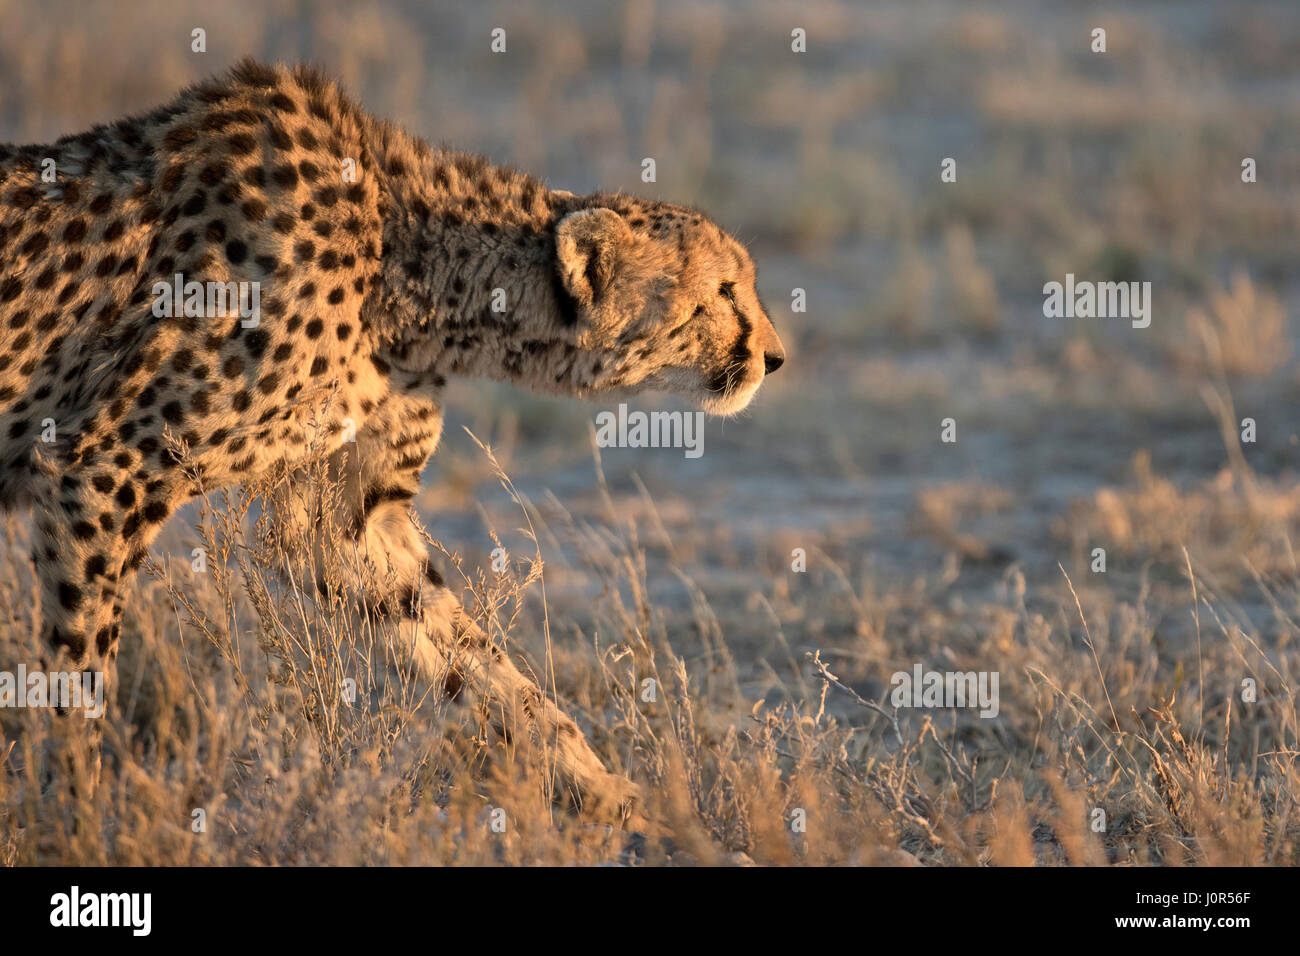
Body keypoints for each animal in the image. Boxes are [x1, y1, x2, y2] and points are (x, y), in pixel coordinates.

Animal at [0, 61, 780, 832]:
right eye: (722, 291)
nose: (774, 358)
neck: (407, 267)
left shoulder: (338, 518)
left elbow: (462, 643)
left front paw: (599, 787)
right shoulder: (104, 469)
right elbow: (77, 676)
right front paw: (73, 818)